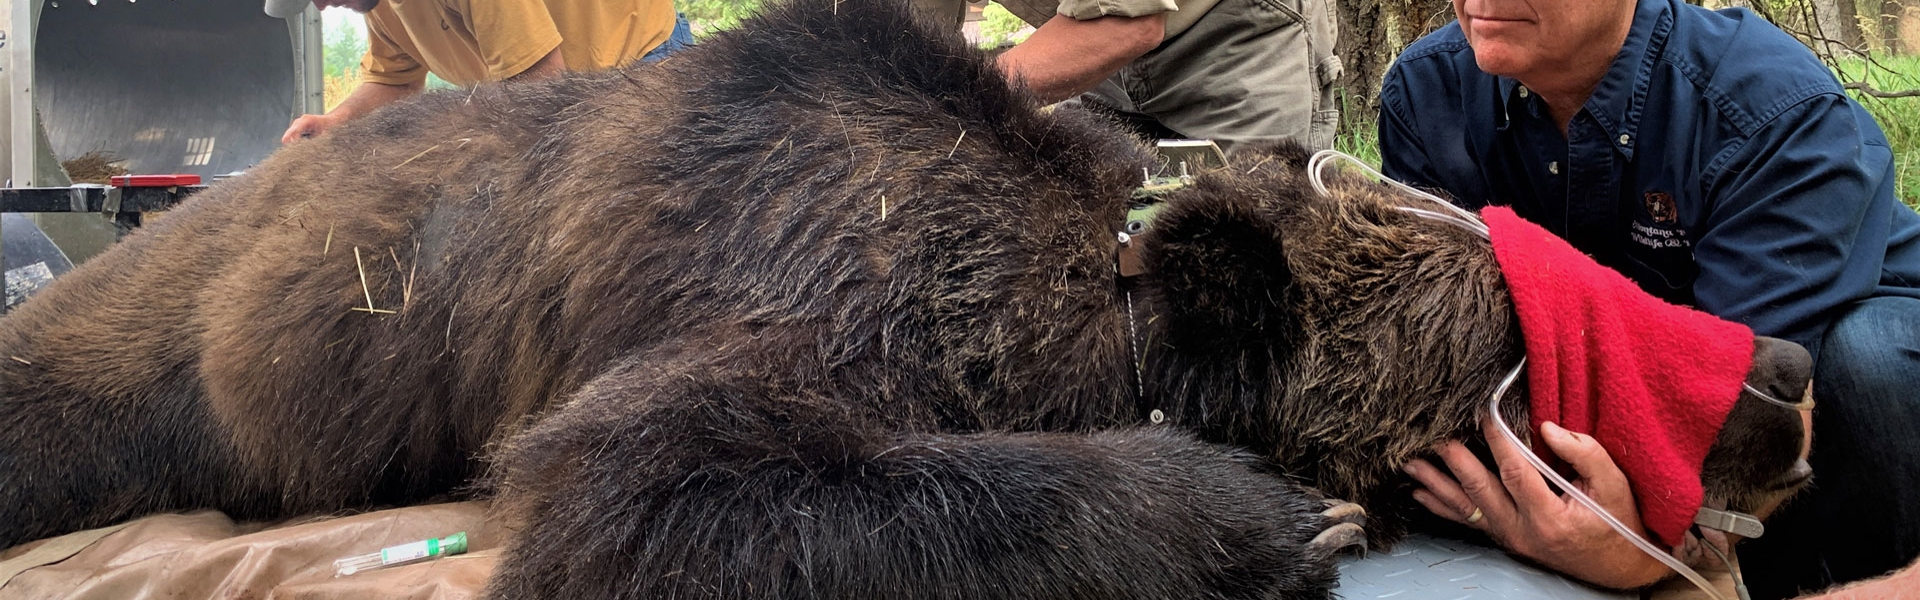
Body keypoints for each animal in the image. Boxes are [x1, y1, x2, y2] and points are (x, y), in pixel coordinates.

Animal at [0, 0, 1812, 598]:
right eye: (1522, 333)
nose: (1790, 374)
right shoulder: (792, 279)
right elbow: (639, 480)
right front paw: (1259, 516)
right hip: (142, 366)